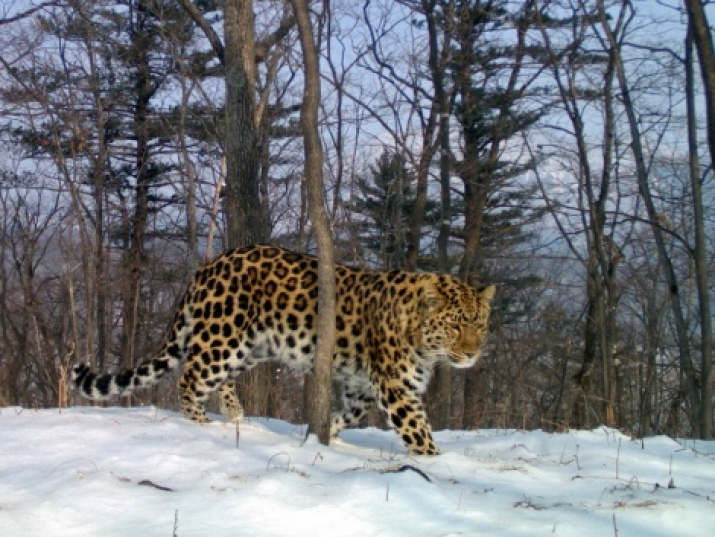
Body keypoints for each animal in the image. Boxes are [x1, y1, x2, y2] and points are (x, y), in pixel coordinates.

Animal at [74, 245, 498, 454]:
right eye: (456, 326)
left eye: (480, 325)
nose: (473, 354)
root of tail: (207, 266)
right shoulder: (396, 387)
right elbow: (418, 430)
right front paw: (436, 465)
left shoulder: (362, 386)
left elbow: (350, 414)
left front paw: (321, 435)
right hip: (223, 337)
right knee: (190, 379)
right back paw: (202, 425)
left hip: (249, 347)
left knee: (216, 379)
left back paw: (236, 416)